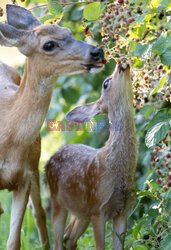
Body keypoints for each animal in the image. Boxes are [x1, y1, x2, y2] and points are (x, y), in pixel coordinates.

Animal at [0, 4, 104, 250]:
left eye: (68, 30)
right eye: (48, 45)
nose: (97, 52)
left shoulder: (24, 177)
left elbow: (14, 241)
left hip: (36, 162)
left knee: (38, 213)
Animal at [45, 61, 138, 250]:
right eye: (106, 83)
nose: (120, 62)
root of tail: (47, 162)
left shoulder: (123, 210)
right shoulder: (98, 207)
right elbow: (100, 246)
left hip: (81, 212)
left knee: (69, 238)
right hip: (57, 202)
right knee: (59, 241)